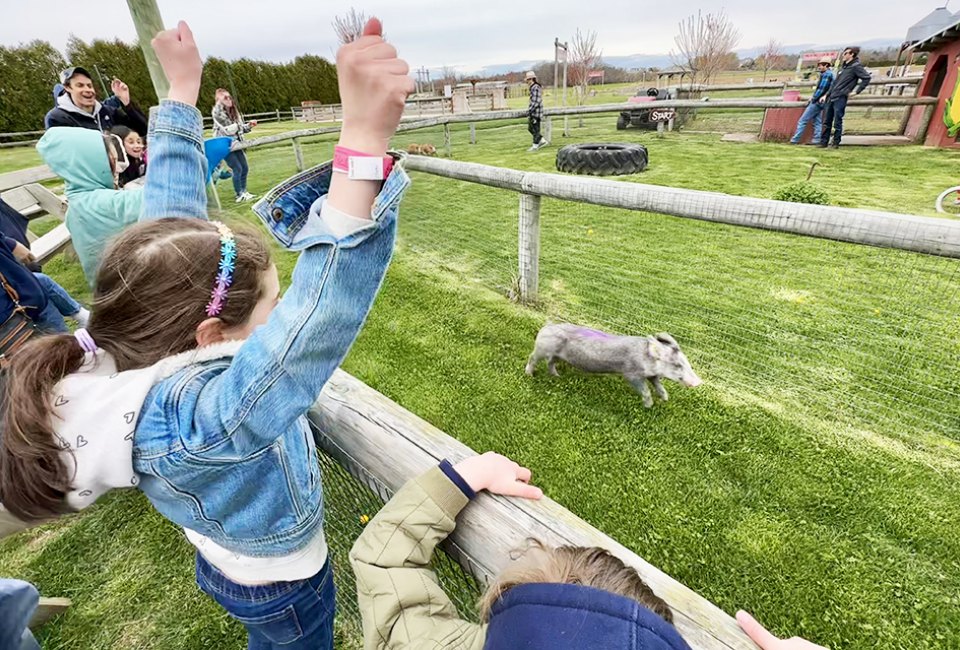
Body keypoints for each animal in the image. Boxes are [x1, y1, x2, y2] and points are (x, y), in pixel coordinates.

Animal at [528, 322, 700, 408]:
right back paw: (529, 374)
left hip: (556, 355)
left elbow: (657, 384)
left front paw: (665, 398)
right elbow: (644, 389)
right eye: (676, 364)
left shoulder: (652, 374)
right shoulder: (631, 374)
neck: (647, 359)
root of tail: (545, 326)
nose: (699, 382)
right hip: (542, 349)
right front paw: (649, 406)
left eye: (686, 362)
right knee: (532, 358)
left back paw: (556, 376)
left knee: (550, 363)